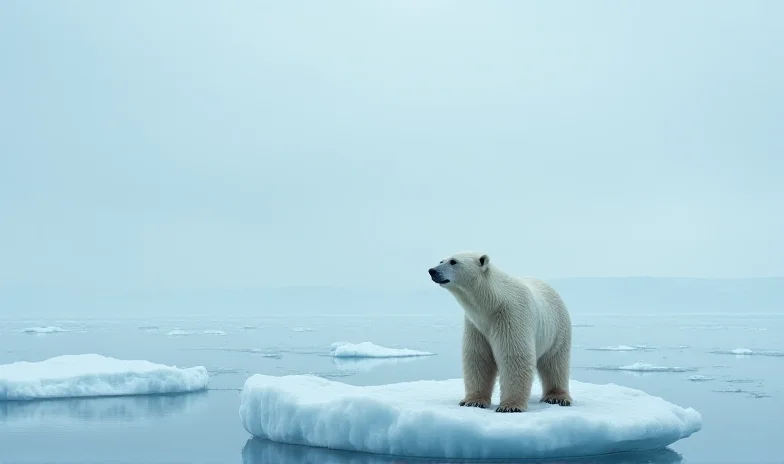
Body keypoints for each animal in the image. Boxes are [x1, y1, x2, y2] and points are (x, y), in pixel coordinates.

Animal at [428, 252, 568, 412]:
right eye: (441, 261)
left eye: (453, 261)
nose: (432, 270)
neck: (492, 303)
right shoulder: (476, 325)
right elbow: (478, 358)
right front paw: (473, 401)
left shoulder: (511, 316)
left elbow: (514, 356)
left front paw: (510, 406)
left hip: (557, 329)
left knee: (555, 363)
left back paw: (557, 397)